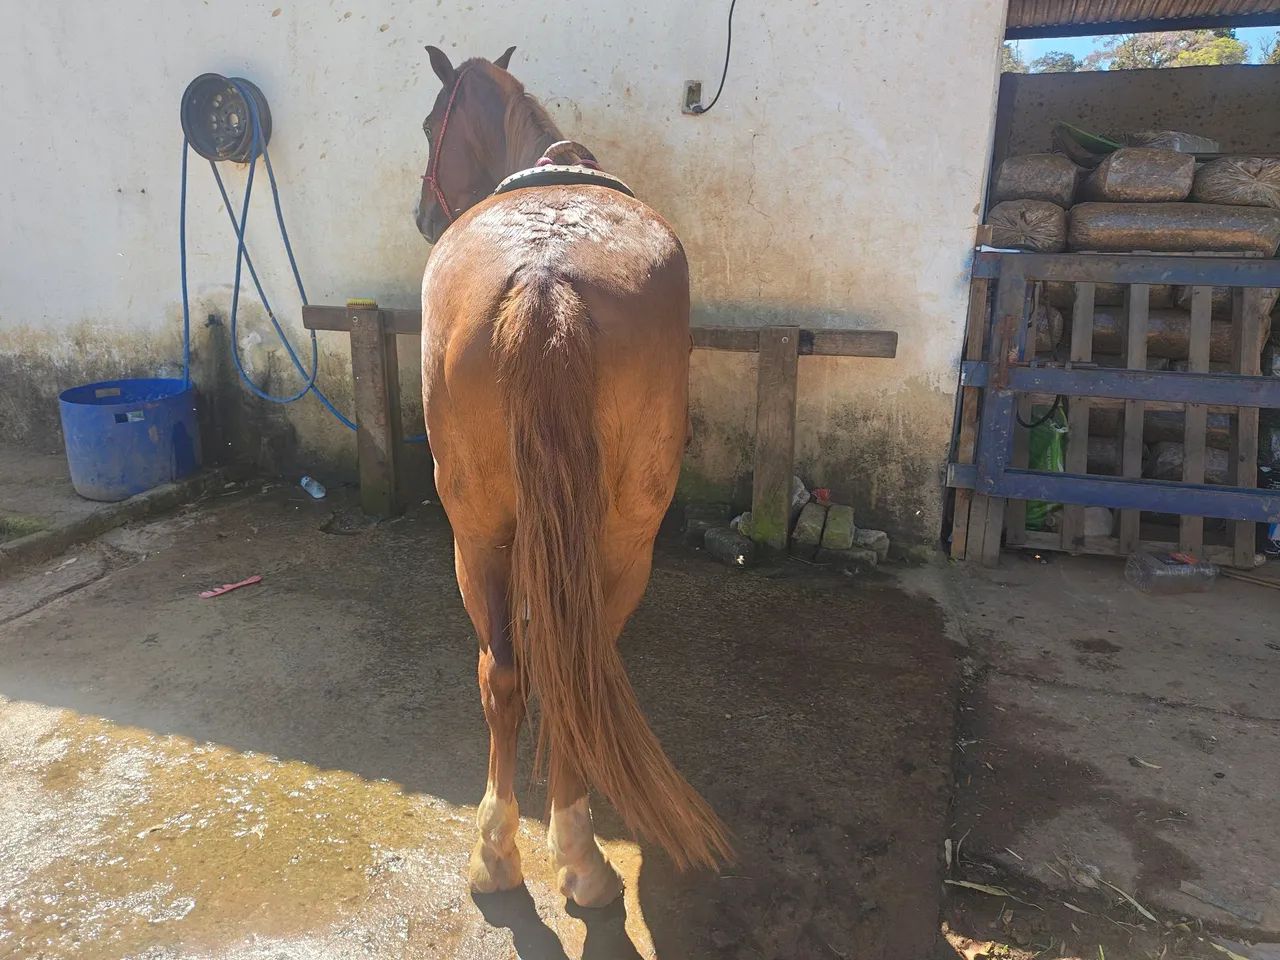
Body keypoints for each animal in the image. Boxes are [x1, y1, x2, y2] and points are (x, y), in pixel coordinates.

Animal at [414, 45, 731, 907]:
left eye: (428, 123)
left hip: (479, 538)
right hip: (611, 542)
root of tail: (544, 275)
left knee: (513, 674)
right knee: (563, 672)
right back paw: (571, 855)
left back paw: (508, 853)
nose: (422, 214)